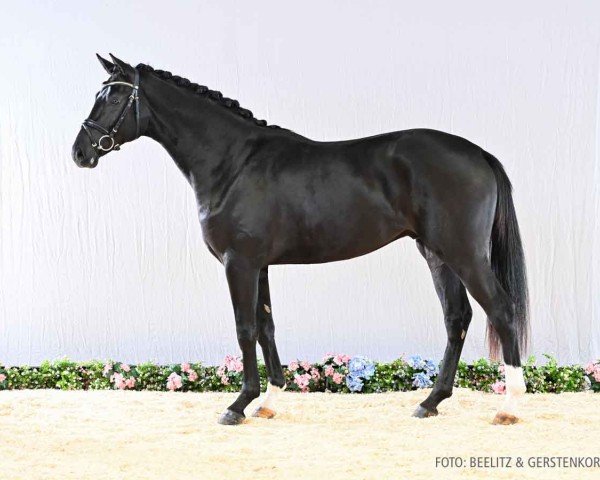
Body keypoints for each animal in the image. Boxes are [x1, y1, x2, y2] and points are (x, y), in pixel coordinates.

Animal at [72, 54, 528, 426]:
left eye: (114, 96)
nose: (80, 153)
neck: (233, 163)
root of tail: (479, 154)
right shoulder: (259, 265)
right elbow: (266, 326)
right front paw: (268, 401)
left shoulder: (238, 262)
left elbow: (244, 328)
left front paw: (238, 405)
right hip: (436, 253)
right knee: (457, 317)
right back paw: (430, 402)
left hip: (464, 254)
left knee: (501, 311)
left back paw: (509, 407)